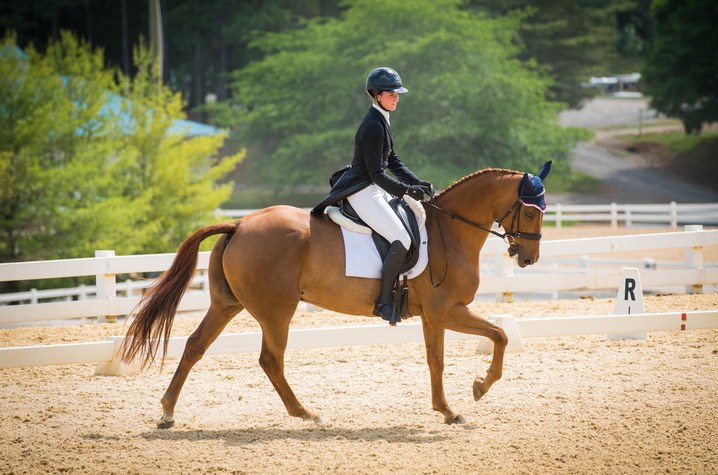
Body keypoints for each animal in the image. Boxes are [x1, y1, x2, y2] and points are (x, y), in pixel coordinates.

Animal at [119, 167, 544, 428]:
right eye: (530, 212)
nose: (529, 258)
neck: (448, 234)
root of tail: (239, 223)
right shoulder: (448, 310)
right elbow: (499, 336)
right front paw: (478, 388)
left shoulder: (433, 316)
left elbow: (436, 361)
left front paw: (448, 410)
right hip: (277, 311)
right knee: (270, 360)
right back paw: (306, 414)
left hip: (227, 305)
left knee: (194, 346)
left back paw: (167, 413)